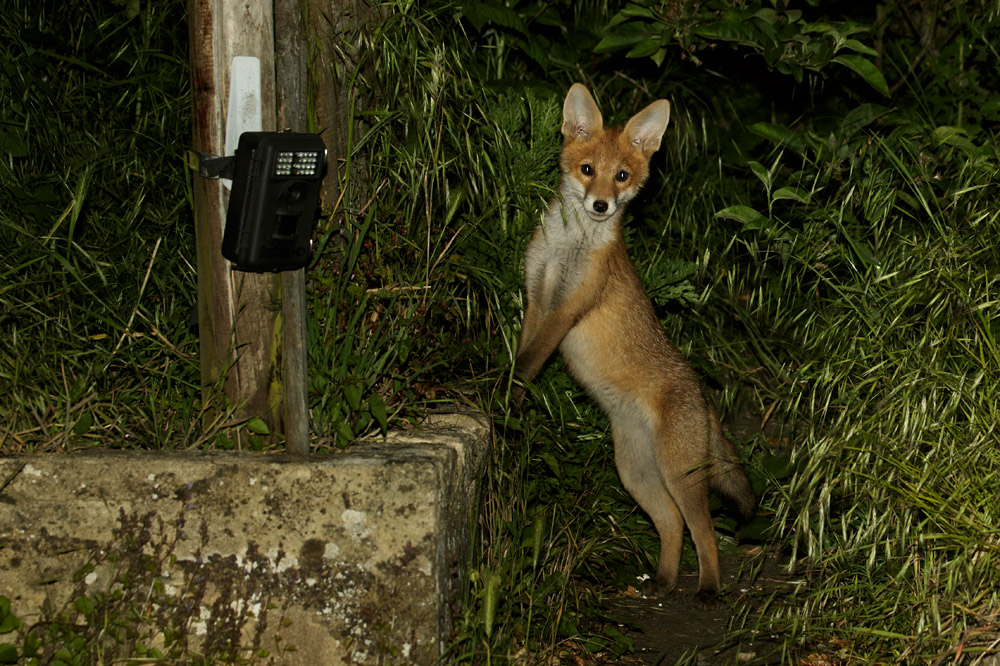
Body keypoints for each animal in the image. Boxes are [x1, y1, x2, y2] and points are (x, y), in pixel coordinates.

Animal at [514, 83, 756, 600]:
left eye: (621, 176)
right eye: (588, 170)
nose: (602, 205)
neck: (568, 247)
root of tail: (701, 396)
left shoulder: (569, 307)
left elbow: (530, 361)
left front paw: (503, 397)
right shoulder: (538, 296)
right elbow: (523, 355)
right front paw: (506, 393)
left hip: (680, 475)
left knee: (703, 529)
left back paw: (707, 589)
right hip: (635, 473)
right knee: (672, 524)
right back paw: (663, 581)